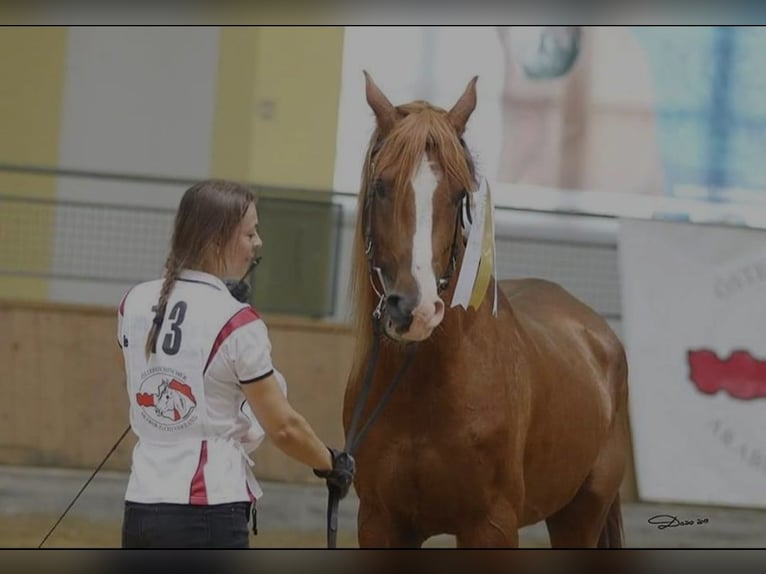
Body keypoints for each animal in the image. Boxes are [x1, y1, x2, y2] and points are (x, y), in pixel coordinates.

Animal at [342, 72, 632, 548]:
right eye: (382, 185)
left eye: (459, 193)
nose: (415, 309)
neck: (426, 390)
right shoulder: (380, 523)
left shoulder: (491, 525)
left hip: (581, 516)